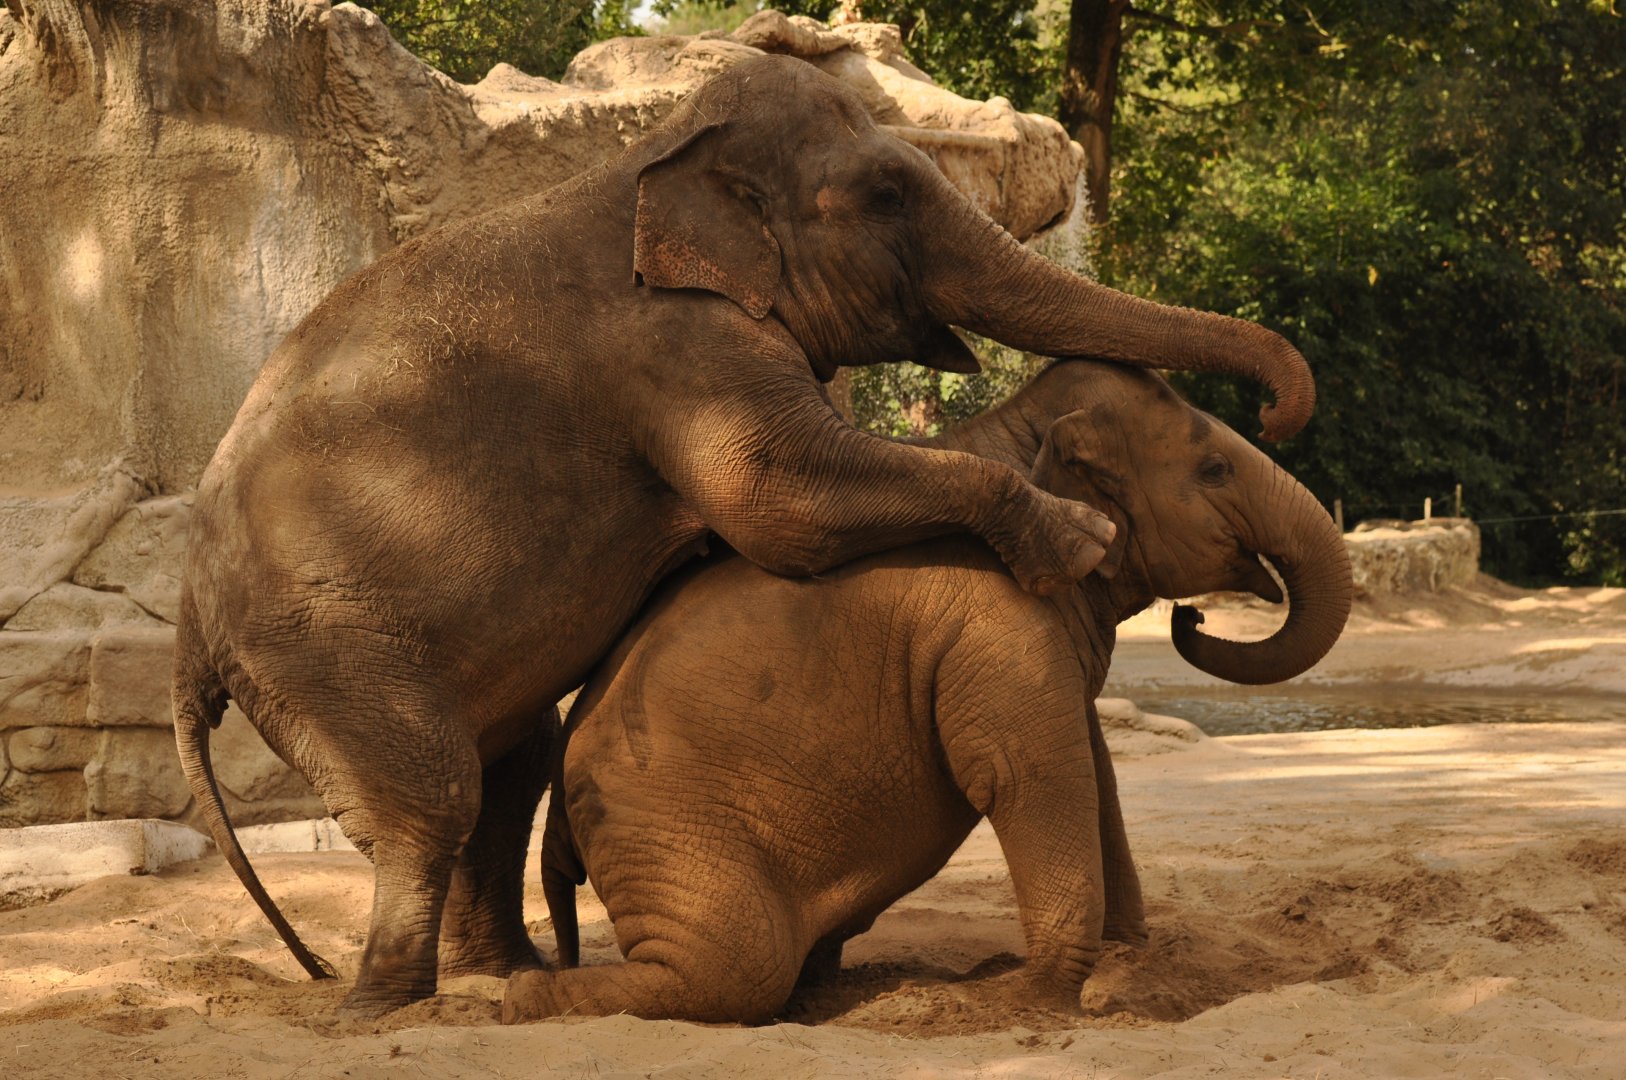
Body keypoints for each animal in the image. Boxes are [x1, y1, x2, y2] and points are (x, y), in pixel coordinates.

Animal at [504, 358, 1353, 1025]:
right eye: (1214, 470)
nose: (1193, 616)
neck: (1015, 432)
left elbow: (1093, 769)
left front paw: (1130, 960)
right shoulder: (997, 622)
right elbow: (1032, 775)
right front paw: (1027, 1003)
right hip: (659, 824)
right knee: (738, 965)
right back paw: (523, 998)